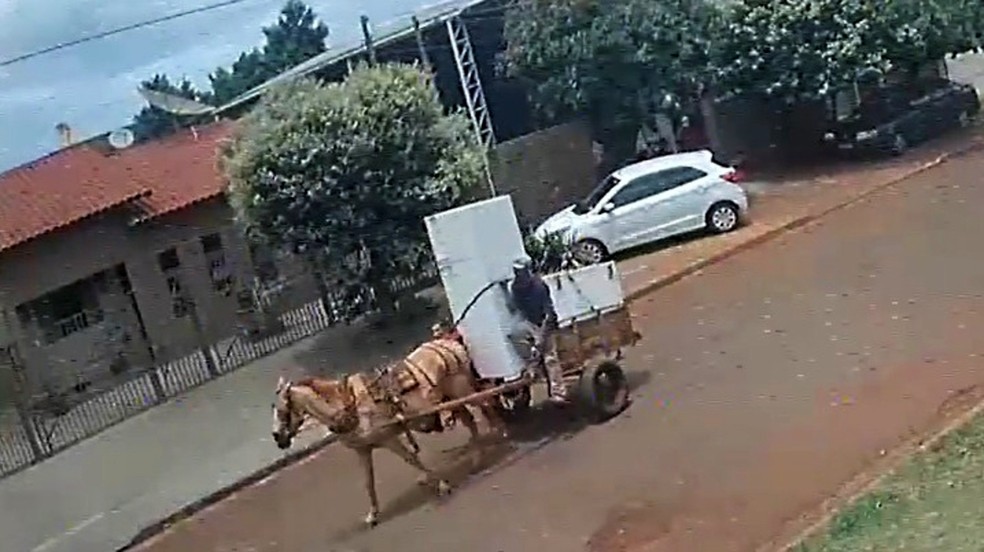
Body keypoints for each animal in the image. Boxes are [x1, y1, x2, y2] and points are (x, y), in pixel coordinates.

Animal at [274, 332, 512, 528]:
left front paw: (441, 484)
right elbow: (368, 482)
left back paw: (503, 435)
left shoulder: (389, 440)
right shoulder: (363, 450)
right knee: (472, 420)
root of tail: (446, 343)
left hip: (462, 390)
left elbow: (412, 459)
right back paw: (478, 456)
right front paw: (373, 514)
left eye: (282, 409)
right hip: (450, 398)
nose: (277, 438)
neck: (348, 405)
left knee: (488, 405)